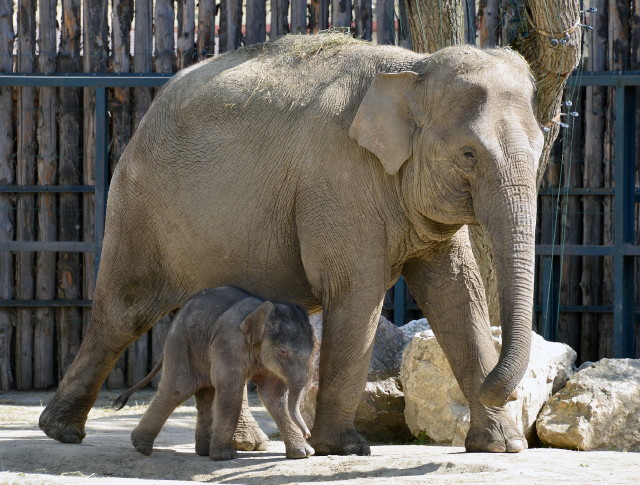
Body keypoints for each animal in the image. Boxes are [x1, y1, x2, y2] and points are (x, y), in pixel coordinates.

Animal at [114, 286, 318, 460]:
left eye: (313, 351)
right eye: (283, 352)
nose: (308, 433)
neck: (259, 312)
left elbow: (274, 396)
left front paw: (303, 454)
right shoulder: (229, 341)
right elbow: (230, 390)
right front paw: (224, 457)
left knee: (206, 394)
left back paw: (203, 452)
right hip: (181, 343)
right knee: (177, 390)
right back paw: (141, 447)